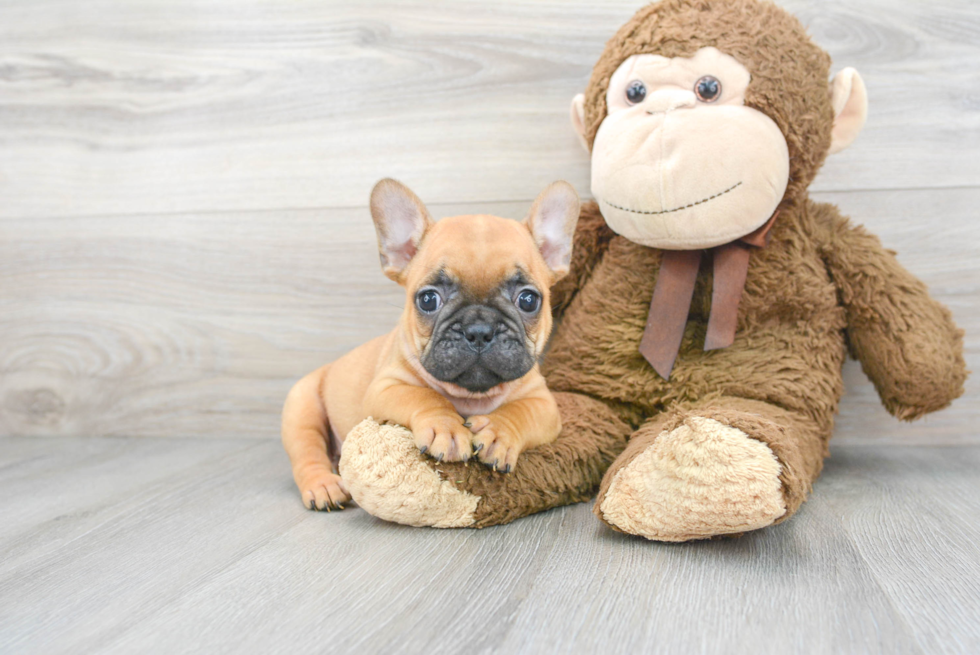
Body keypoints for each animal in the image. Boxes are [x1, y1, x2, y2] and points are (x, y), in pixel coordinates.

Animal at [280, 179, 580, 512]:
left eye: (528, 300)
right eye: (428, 300)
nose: (479, 330)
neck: (471, 395)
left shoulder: (544, 405)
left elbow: (520, 411)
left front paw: (499, 433)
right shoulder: (384, 388)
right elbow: (423, 396)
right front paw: (445, 427)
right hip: (302, 408)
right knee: (307, 452)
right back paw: (323, 486)